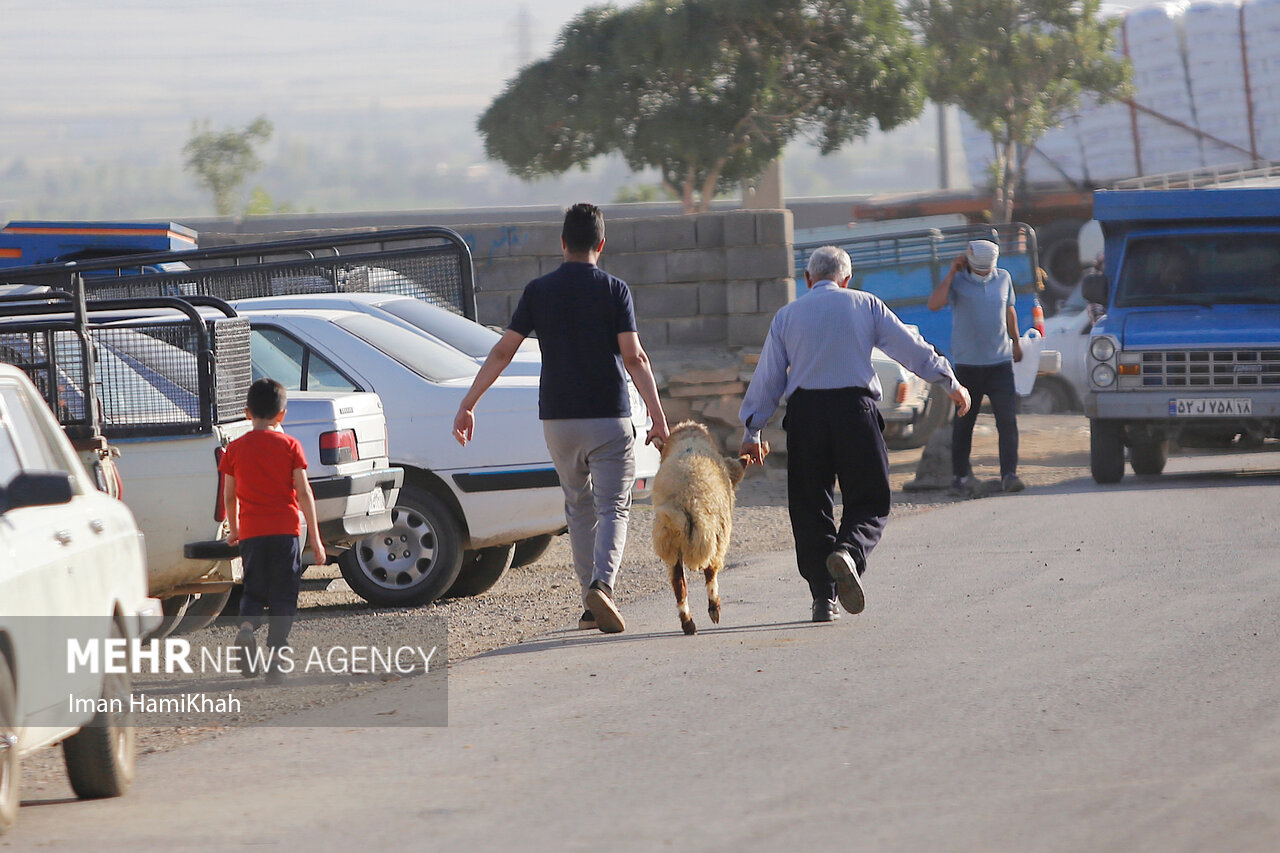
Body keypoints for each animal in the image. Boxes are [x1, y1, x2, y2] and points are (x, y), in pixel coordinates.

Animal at [655, 417, 752, 630]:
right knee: (710, 572)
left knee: (679, 584)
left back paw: (688, 623)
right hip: (713, 536)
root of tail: (686, 499)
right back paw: (713, 610)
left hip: (671, 541)